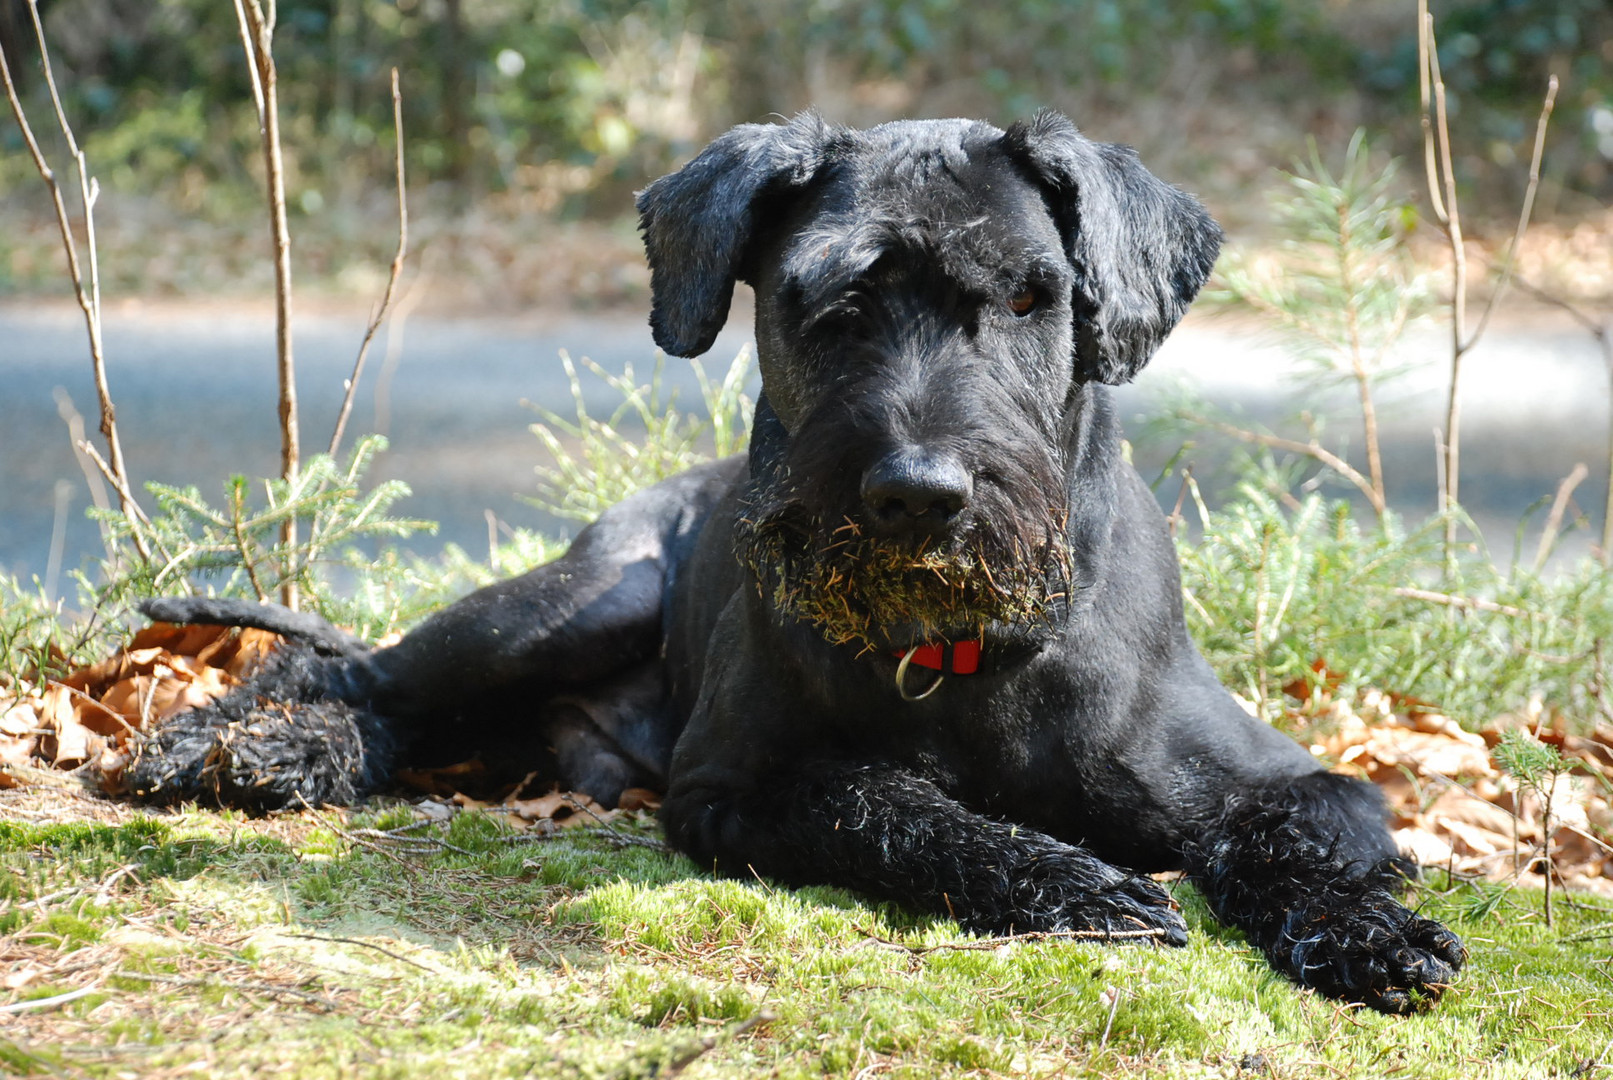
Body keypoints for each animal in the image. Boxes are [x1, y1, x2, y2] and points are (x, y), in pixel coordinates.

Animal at [132, 114, 1464, 1018]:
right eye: (823, 299)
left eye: (1029, 298)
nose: (916, 494)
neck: (964, 650)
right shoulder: (731, 787)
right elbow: (885, 805)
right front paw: (1072, 883)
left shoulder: (1307, 783)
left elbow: (1284, 838)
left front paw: (1371, 935)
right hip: (573, 602)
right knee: (367, 676)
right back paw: (239, 745)